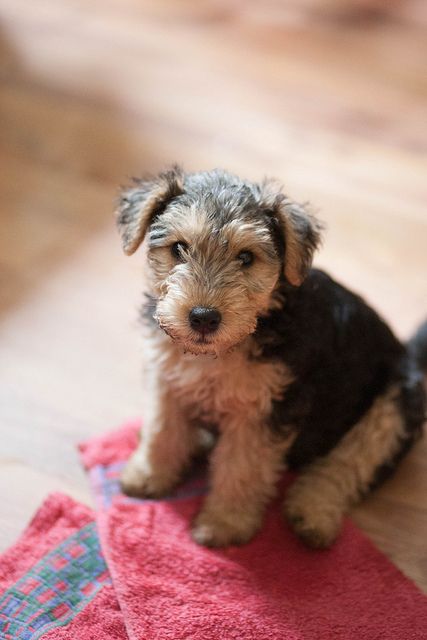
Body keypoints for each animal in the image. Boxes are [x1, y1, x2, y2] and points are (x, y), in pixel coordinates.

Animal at [115, 168, 426, 548]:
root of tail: (407, 353)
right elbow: (163, 430)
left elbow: (242, 468)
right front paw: (149, 475)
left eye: (246, 258)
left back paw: (312, 514)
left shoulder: (265, 410)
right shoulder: (167, 379)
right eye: (178, 248)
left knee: (351, 461)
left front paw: (224, 524)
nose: (203, 317)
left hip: (394, 405)